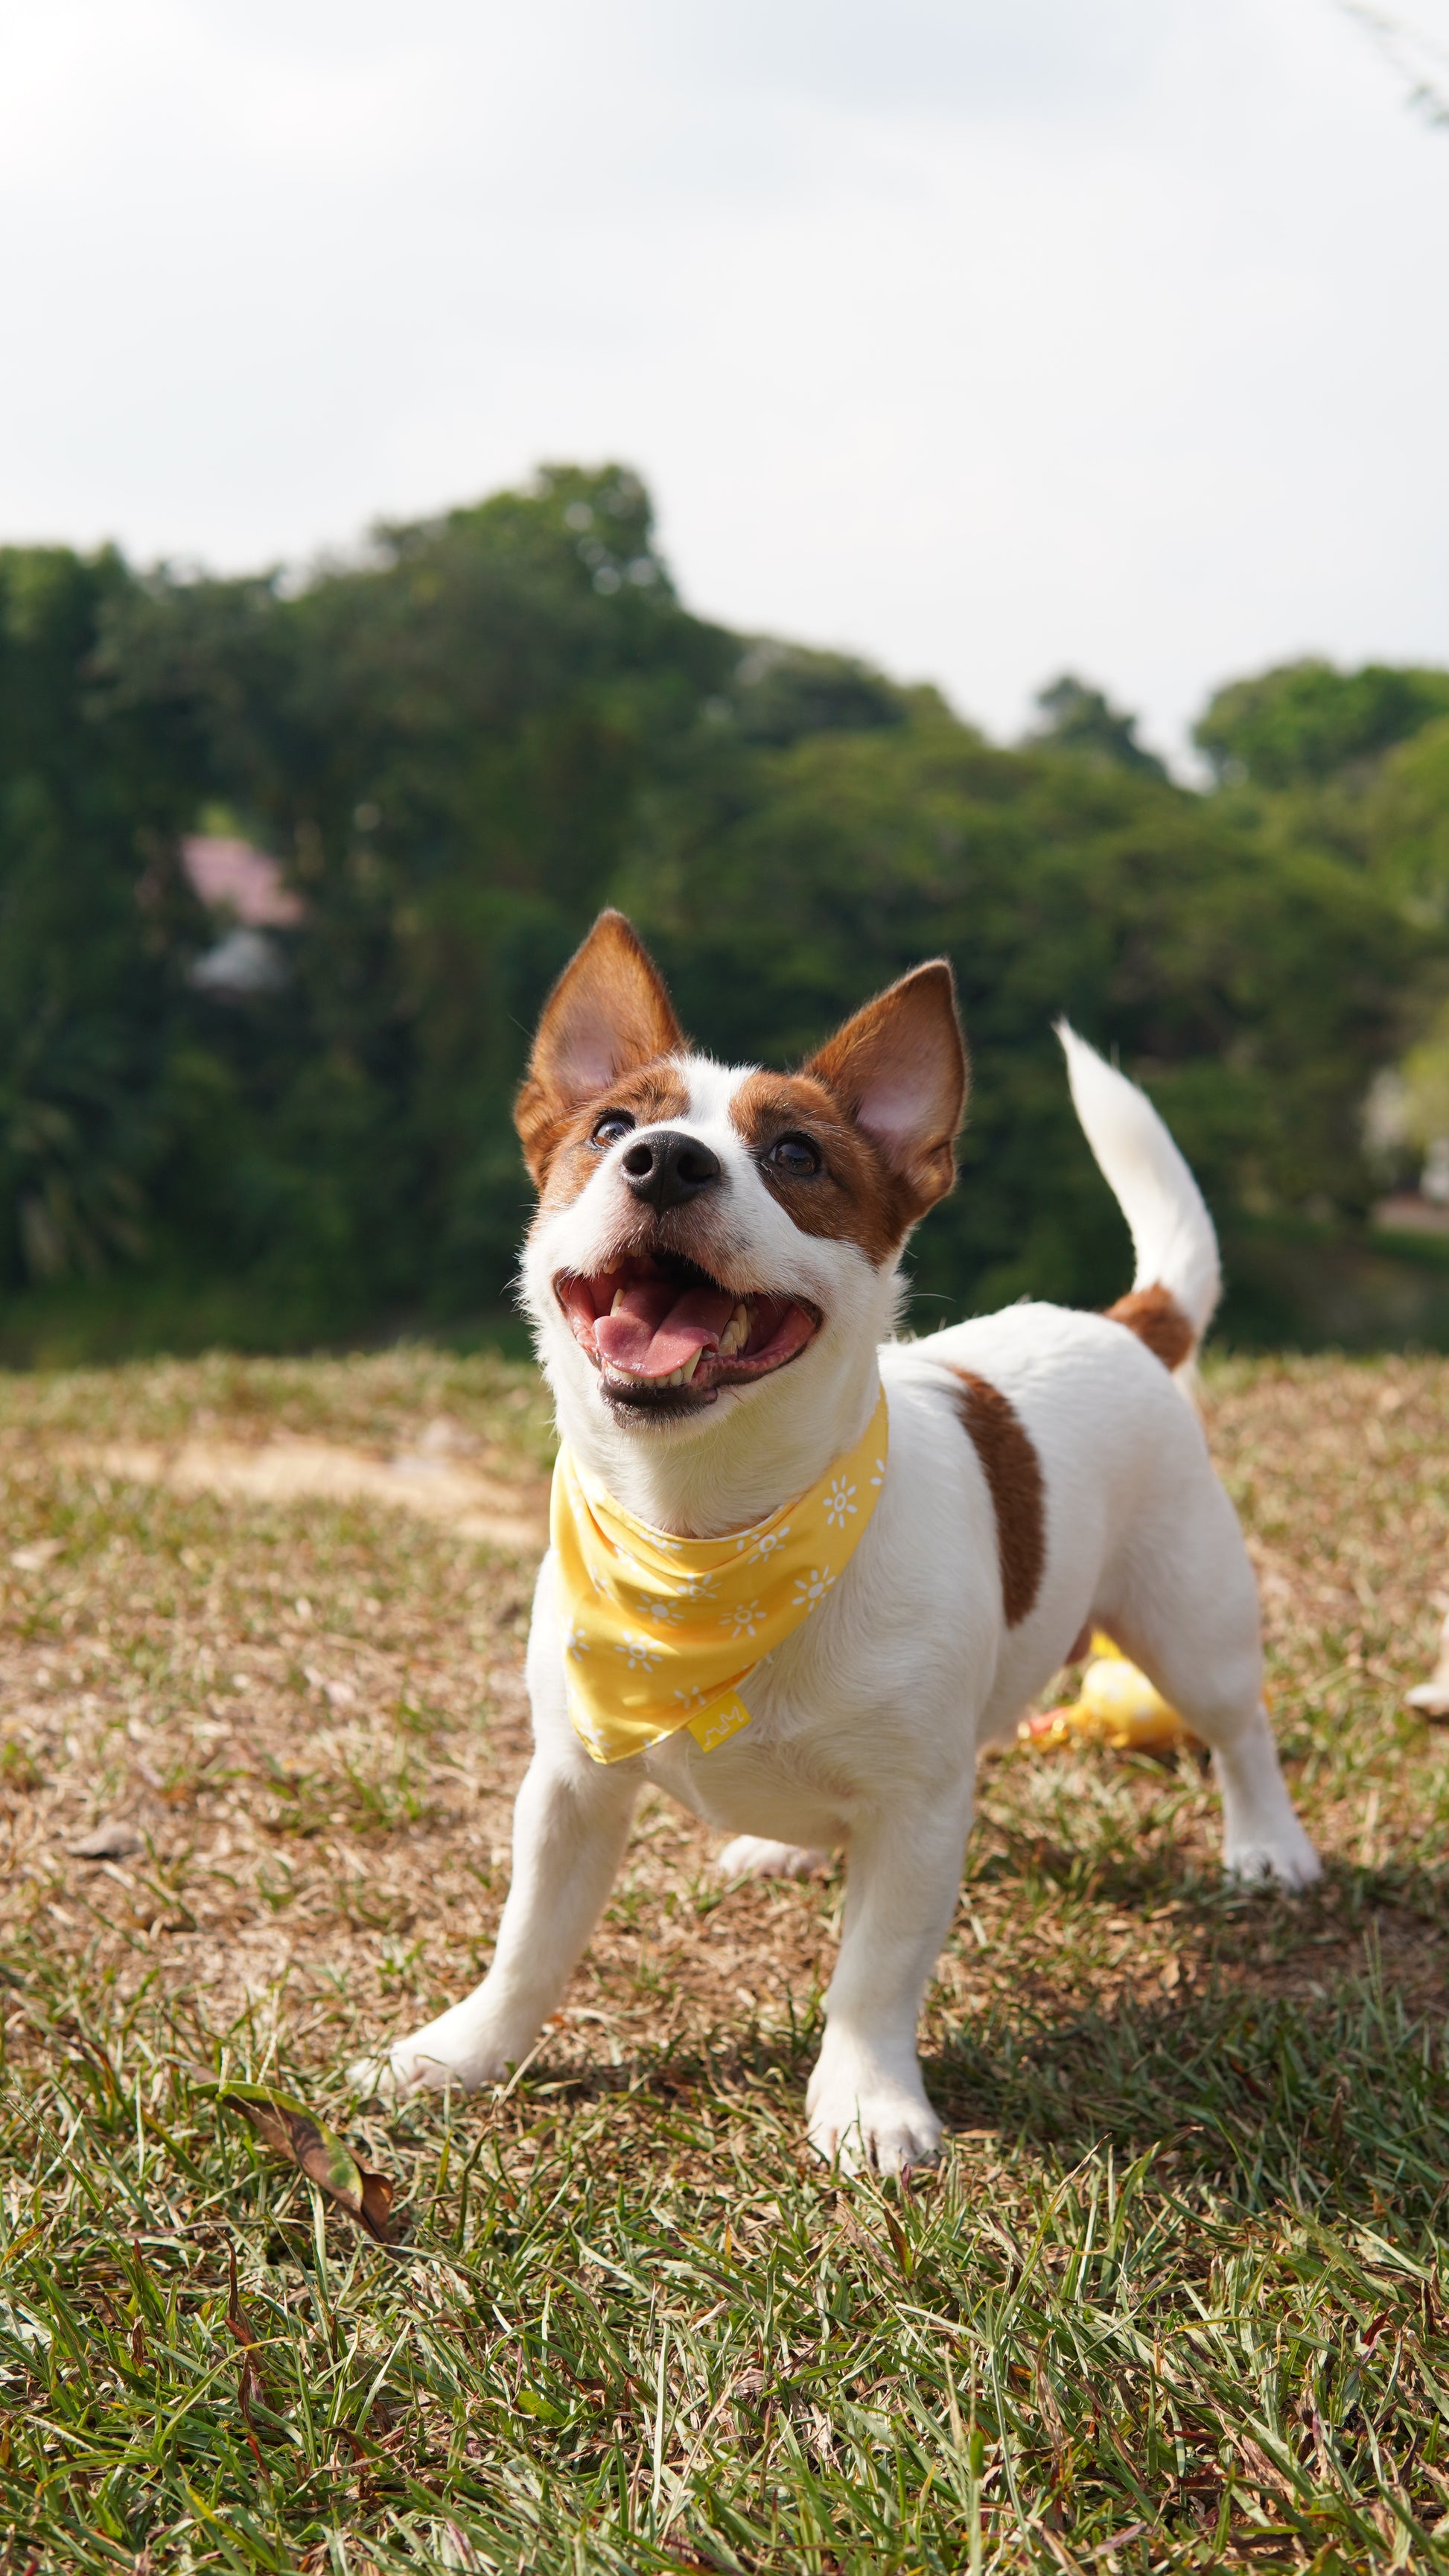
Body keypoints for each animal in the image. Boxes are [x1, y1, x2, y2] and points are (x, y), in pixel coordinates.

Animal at [354, 917, 1328, 2163]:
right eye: (612, 1127)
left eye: (796, 1156)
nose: (664, 1161)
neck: (708, 1542)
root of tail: (1120, 1321)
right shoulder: (569, 1785)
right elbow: (527, 1944)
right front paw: (462, 2051)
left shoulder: (918, 1810)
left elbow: (875, 1969)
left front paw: (866, 2100)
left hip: (1187, 1619)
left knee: (1236, 1724)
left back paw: (1266, 1841)